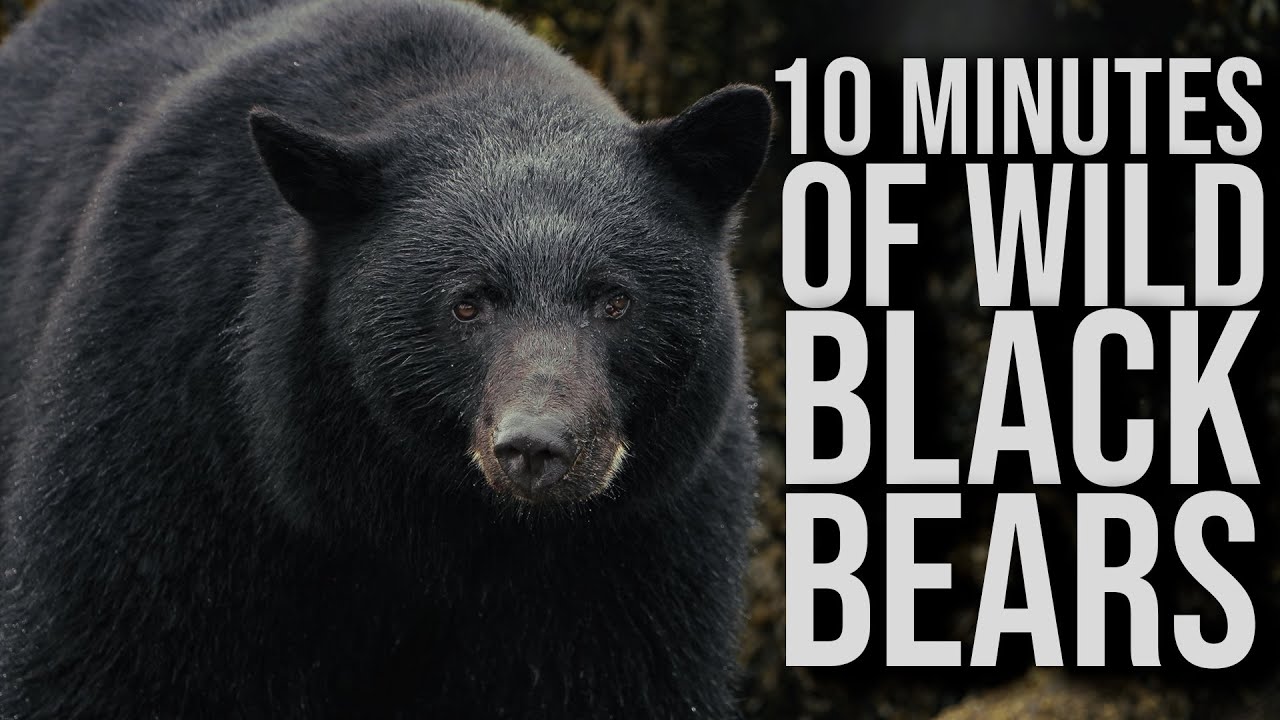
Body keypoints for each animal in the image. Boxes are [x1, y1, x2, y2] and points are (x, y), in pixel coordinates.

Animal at [0, 0, 771, 717]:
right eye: (467, 304)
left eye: (614, 300)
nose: (536, 447)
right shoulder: (171, 420)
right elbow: (110, 648)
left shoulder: (641, 541)